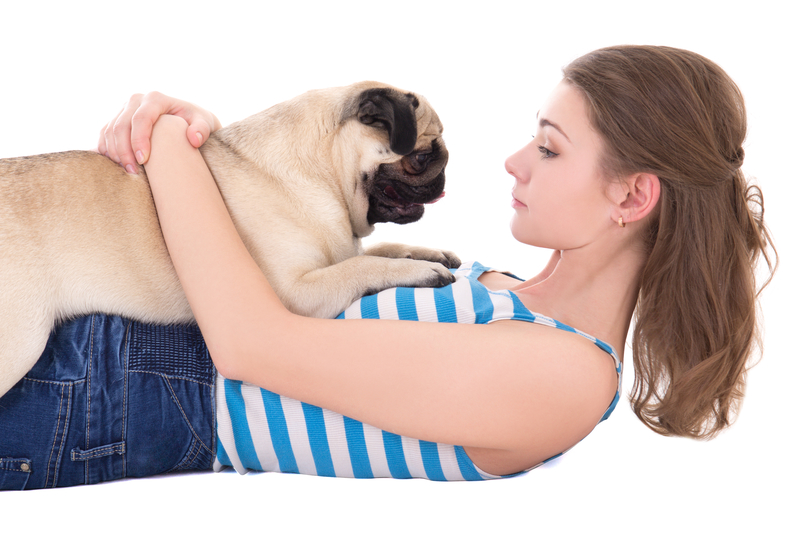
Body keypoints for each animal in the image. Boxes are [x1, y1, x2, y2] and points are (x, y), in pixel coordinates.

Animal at [0, 80, 460, 394]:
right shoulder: (292, 294)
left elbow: (379, 248)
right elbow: (364, 263)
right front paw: (419, 271)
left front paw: (426, 253)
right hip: (21, 343)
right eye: (422, 156)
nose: (443, 177)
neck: (321, 172)